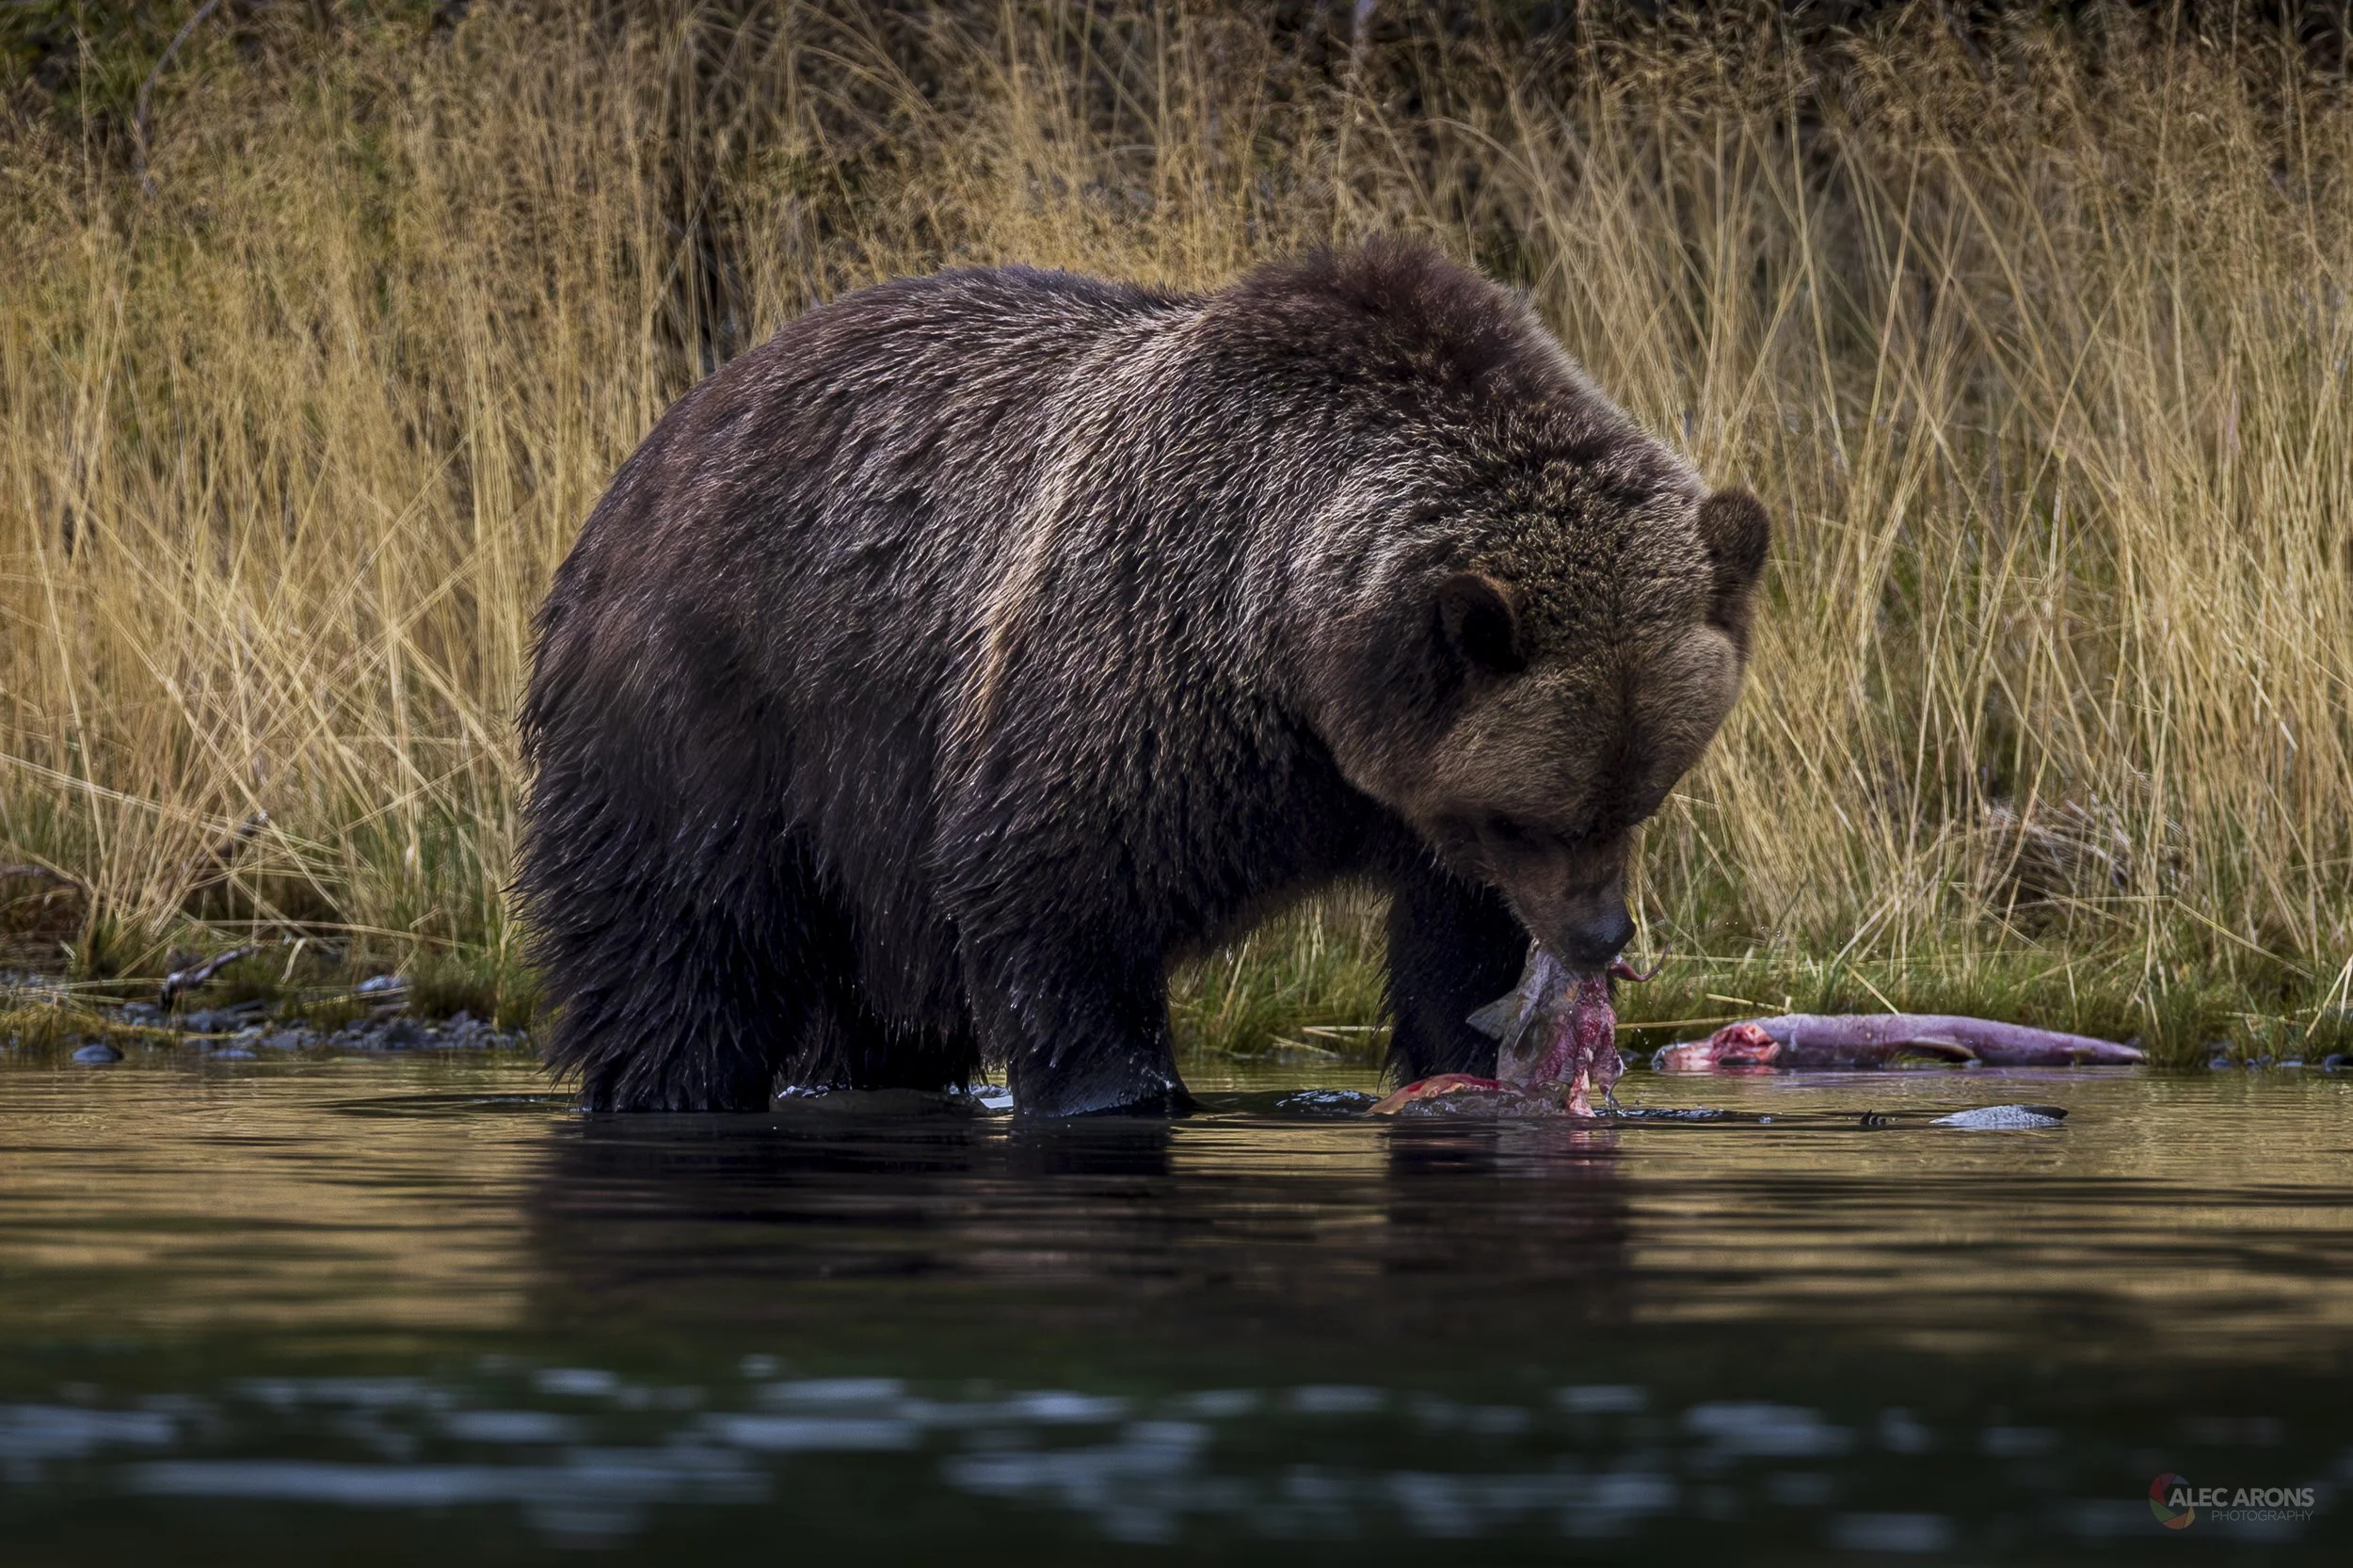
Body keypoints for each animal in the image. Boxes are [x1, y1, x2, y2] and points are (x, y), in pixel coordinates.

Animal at [516, 238, 1768, 1116]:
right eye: (1531, 812)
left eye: (1644, 789)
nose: (1599, 936)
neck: (1297, 674)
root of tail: (668, 432)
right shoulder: (1135, 674)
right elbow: (1056, 899)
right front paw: (1117, 1088)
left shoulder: (1404, 791)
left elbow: (1449, 945)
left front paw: (1478, 1041)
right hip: (723, 702)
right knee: (681, 938)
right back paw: (668, 1082)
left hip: (859, 817)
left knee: (873, 1002)